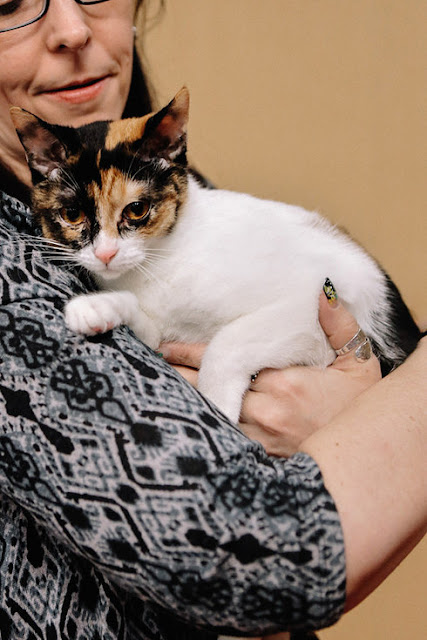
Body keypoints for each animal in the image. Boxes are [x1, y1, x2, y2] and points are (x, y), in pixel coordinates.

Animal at [10, 87, 422, 422]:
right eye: (72, 214)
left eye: (137, 210)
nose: (106, 254)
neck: (162, 263)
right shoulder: (159, 333)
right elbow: (143, 321)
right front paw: (96, 308)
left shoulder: (314, 306)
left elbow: (227, 344)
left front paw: (218, 407)